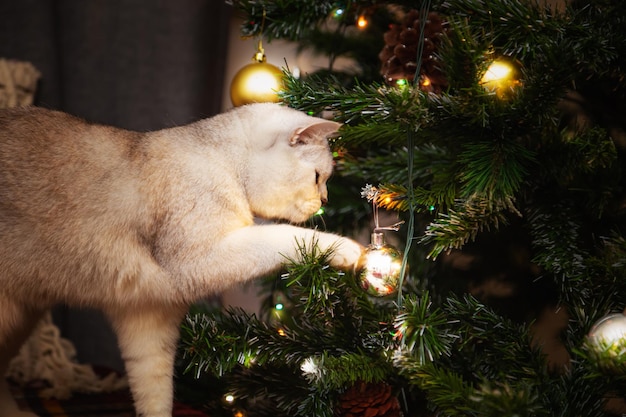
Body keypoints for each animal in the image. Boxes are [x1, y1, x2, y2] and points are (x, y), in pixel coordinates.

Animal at [0, 103, 360, 416]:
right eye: (318, 177)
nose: (325, 200)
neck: (224, 163)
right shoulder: (199, 260)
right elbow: (282, 236)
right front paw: (348, 249)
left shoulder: (148, 319)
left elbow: (156, 396)